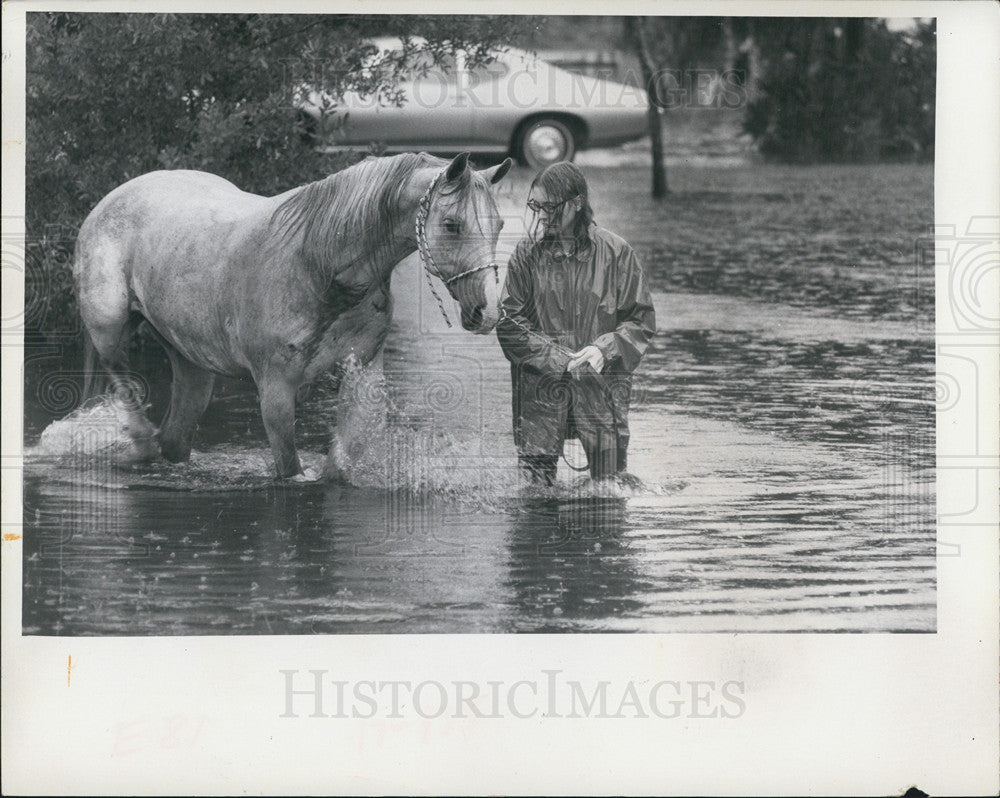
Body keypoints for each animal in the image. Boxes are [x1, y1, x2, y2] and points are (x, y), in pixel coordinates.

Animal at [74, 153, 512, 482]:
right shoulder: (275, 389)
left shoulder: (364, 371)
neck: (318, 264)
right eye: (452, 225)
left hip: (191, 362)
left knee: (176, 436)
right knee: (122, 377)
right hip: (109, 329)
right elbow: (290, 470)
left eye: (500, 224)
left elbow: (342, 462)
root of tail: (109, 201)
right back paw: (139, 440)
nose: (487, 311)